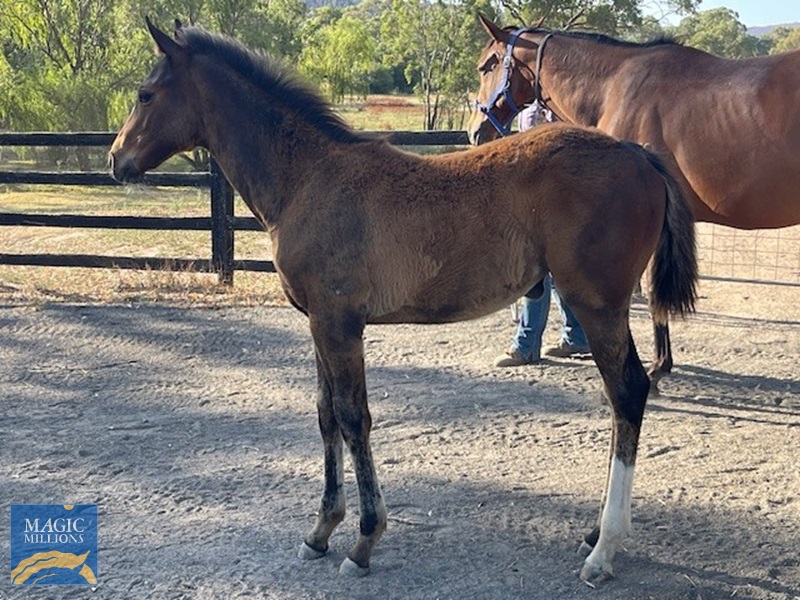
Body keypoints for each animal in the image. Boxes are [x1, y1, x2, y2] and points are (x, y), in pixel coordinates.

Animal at [109, 18, 697, 585]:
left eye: (144, 94)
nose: (116, 160)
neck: (307, 178)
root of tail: (638, 154)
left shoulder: (340, 324)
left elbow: (354, 418)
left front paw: (364, 541)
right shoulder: (318, 324)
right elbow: (326, 415)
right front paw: (320, 532)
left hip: (598, 306)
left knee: (628, 393)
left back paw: (604, 550)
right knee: (622, 400)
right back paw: (592, 531)